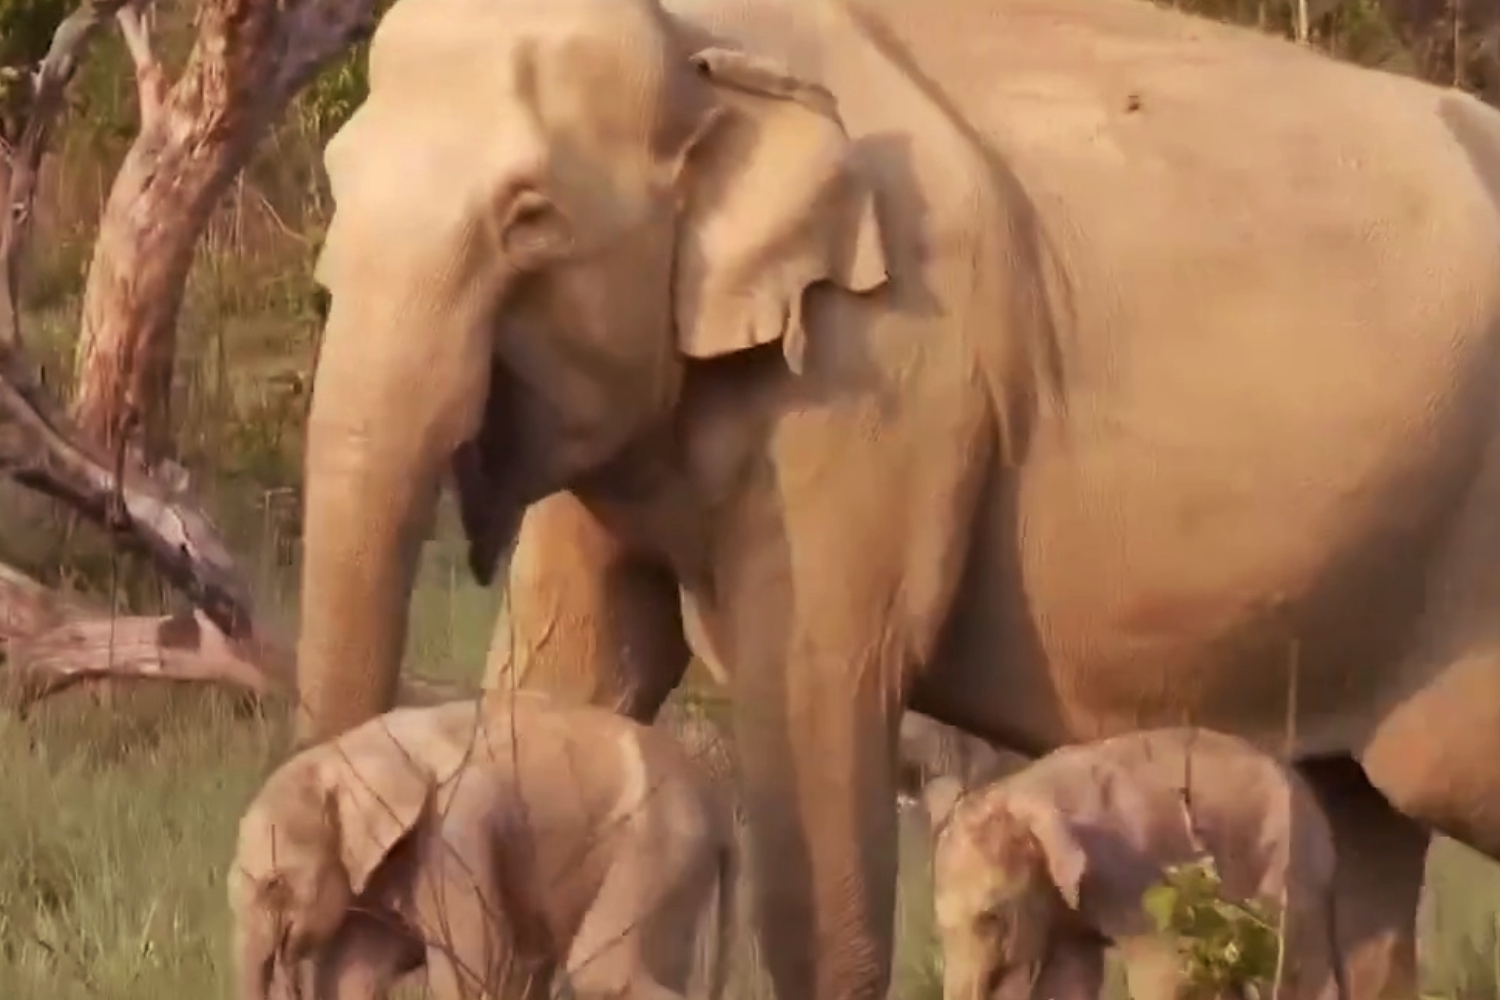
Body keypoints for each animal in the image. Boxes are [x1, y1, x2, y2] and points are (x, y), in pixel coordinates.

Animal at [229, 694, 735, 1000]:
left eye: (275, 885)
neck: (343, 752)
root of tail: (717, 801)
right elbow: (354, 973)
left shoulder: (454, 831)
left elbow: (471, 969)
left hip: (660, 843)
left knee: (603, 972)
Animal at [927, 728, 1346, 1000]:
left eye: (990, 918)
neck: (1024, 789)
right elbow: (1071, 973)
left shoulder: (1138, 872)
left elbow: (1162, 970)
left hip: (1289, 859)